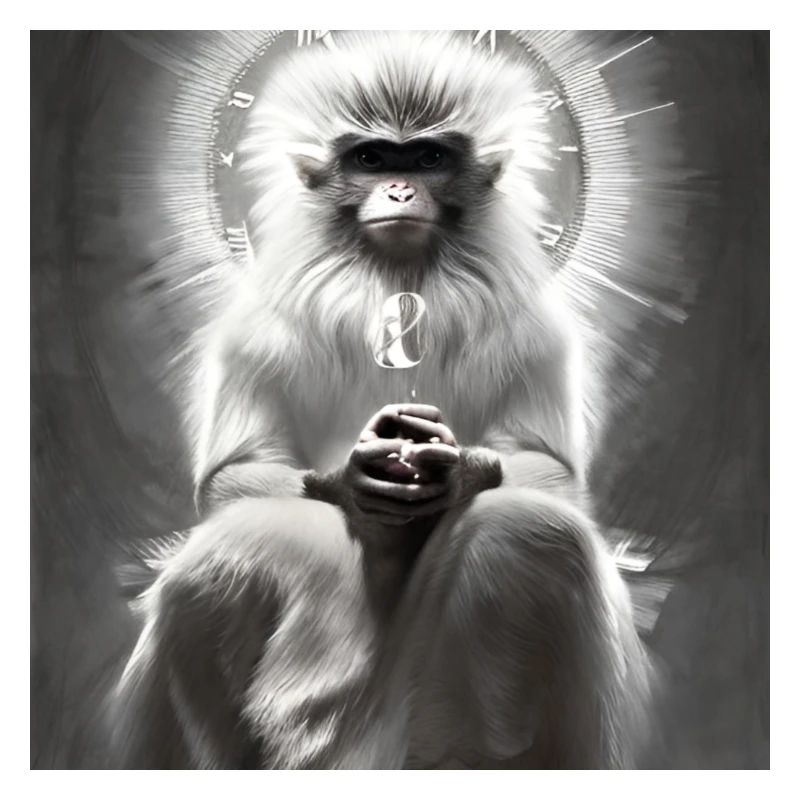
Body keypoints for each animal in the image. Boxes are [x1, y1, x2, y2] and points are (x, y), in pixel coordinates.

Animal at [112, 31, 652, 769]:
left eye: (427, 158)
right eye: (370, 159)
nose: (399, 189)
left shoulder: (538, 327)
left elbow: (554, 475)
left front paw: (461, 472)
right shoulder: (253, 326)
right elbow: (232, 477)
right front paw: (351, 479)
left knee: (533, 533)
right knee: (221, 565)